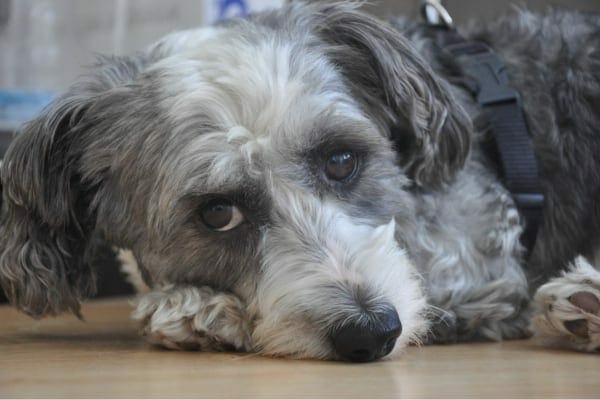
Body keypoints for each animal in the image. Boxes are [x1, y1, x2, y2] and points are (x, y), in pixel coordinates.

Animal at [1, 0, 600, 362]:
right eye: (217, 212)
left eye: (341, 161)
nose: (371, 333)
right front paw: (194, 306)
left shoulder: (479, 267)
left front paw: (193, 309)